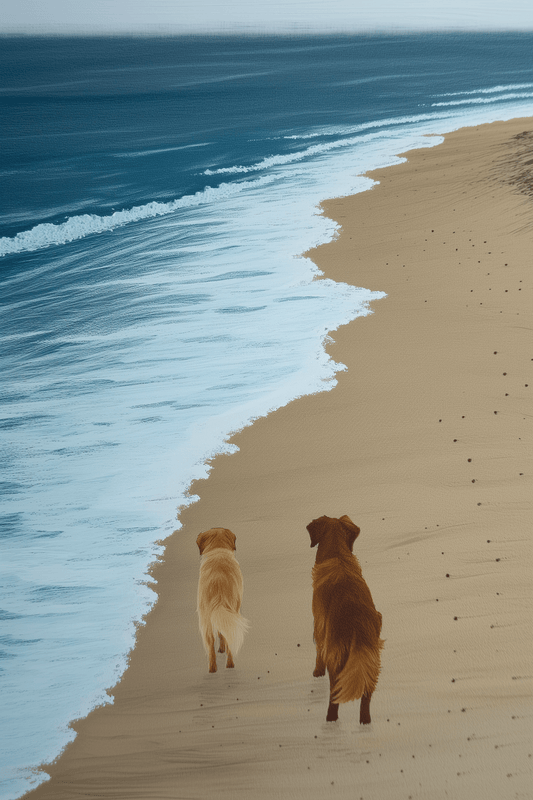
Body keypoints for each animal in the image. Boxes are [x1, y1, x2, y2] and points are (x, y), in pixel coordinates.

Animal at [195, 528, 249, 672]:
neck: (218, 549)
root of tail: (218, 585)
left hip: (205, 618)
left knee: (211, 642)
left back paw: (214, 667)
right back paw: (226, 665)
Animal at [308, 516, 382, 720]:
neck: (338, 555)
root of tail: (357, 623)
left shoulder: (319, 623)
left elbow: (318, 650)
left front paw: (317, 672)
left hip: (337, 657)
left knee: (335, 693)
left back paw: (330, 718)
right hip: (371, 658)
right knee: (366, 696)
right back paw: (365, 721)